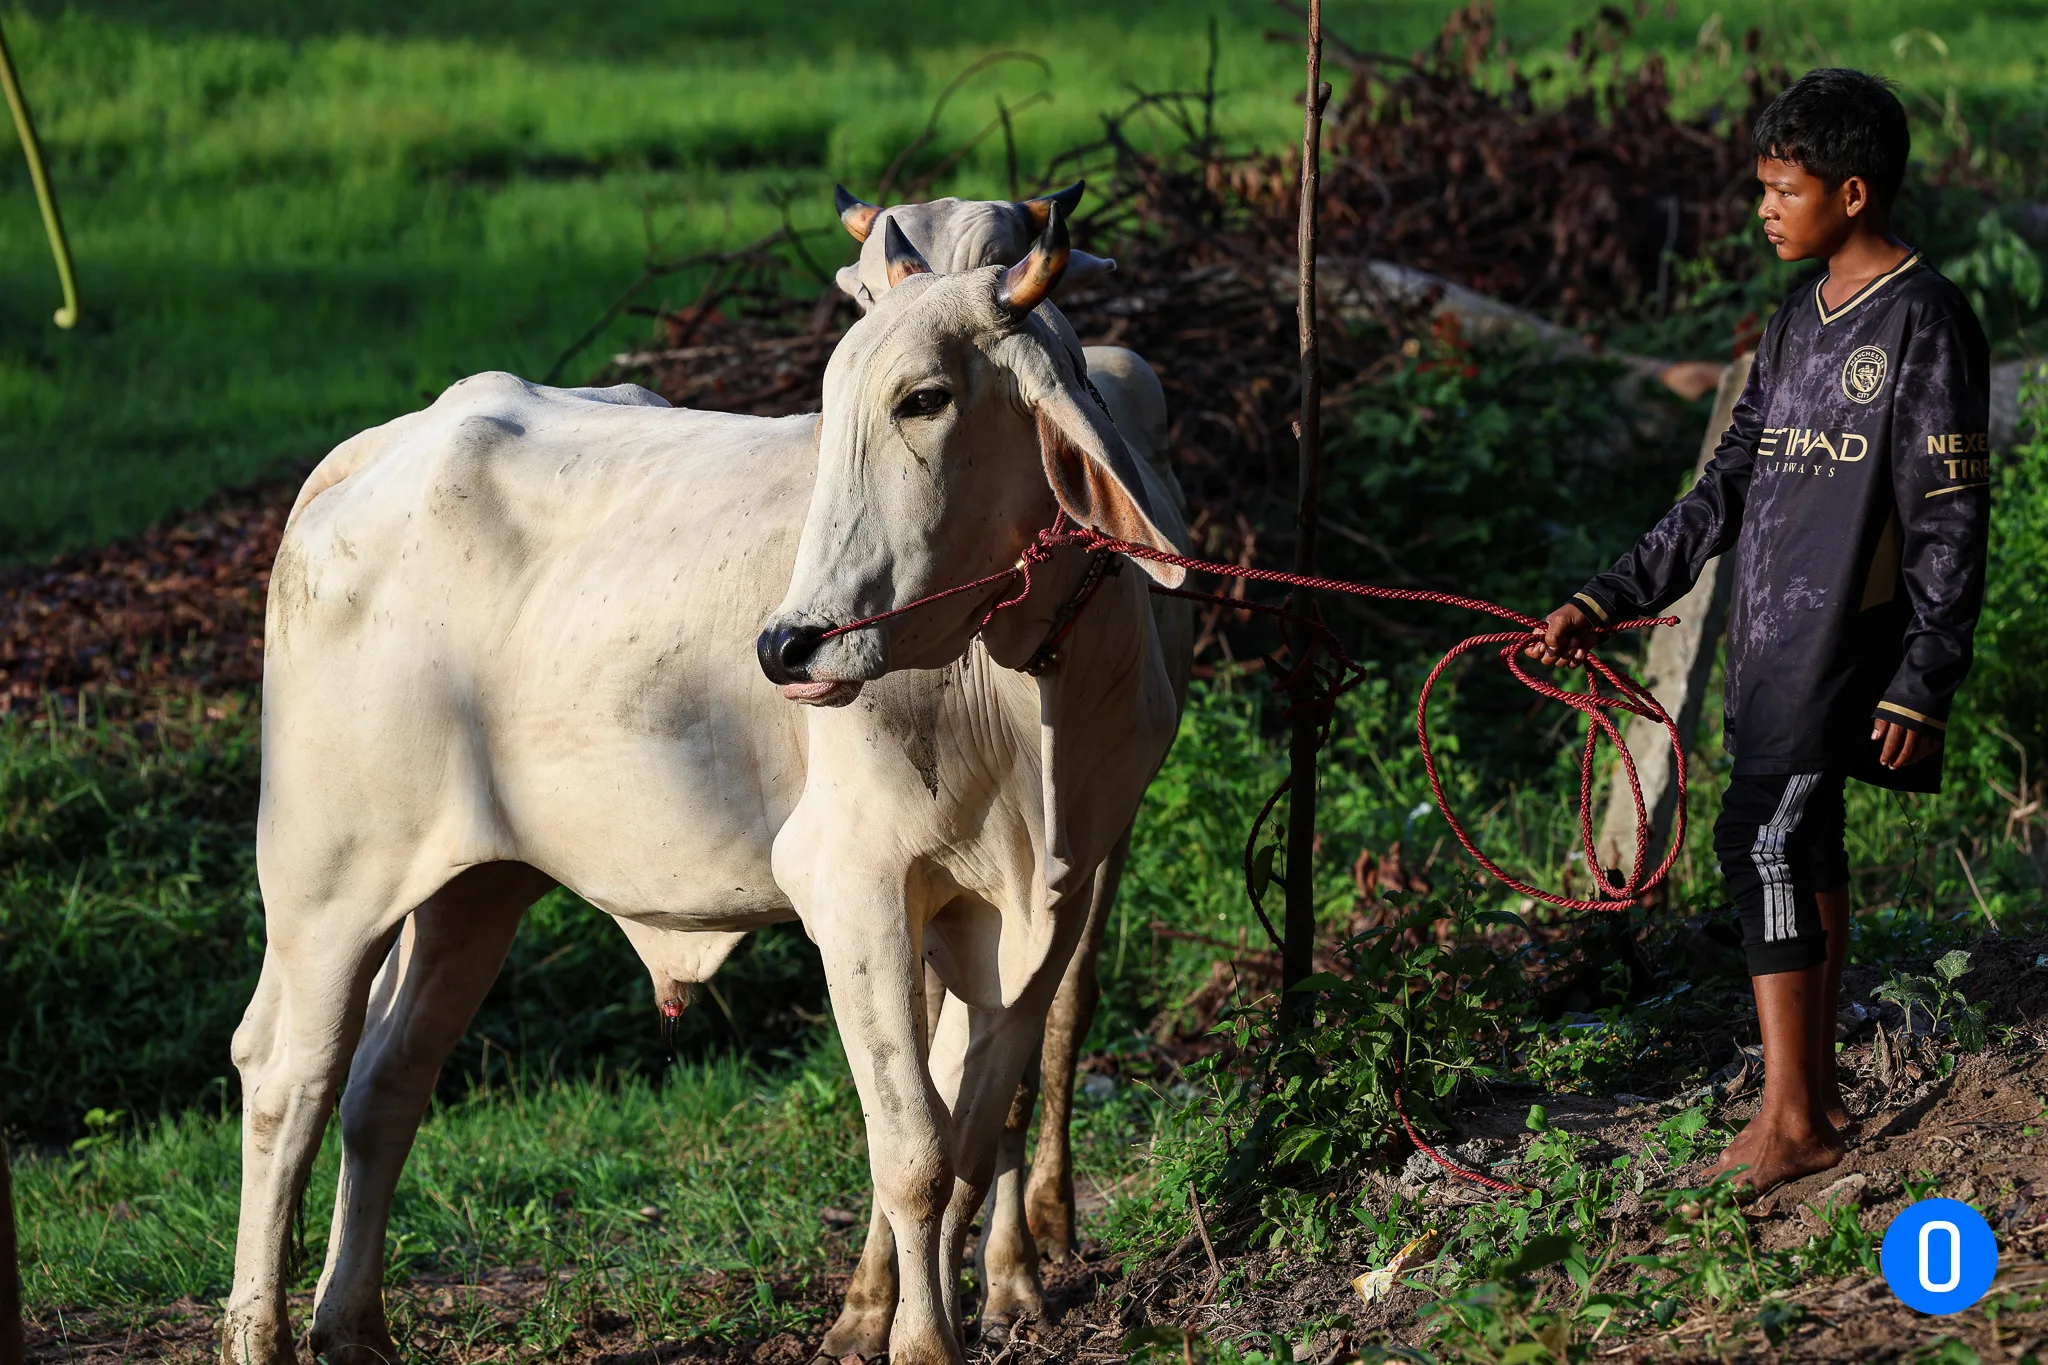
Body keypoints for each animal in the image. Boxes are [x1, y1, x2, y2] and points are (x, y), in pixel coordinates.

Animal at [222, 210, 1187, 1365]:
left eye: (925, 397)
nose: (787, 645)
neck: (1017, 685)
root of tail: (377, 448)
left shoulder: (1049, 899)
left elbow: (969, 1135)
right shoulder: (853, 887)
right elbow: (912, 1155)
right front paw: (915, 1339)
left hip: (473, 886)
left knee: (386, 1080)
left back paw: (355, 1326)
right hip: (328, 875)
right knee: (288, 1078)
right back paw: (261, 1333)